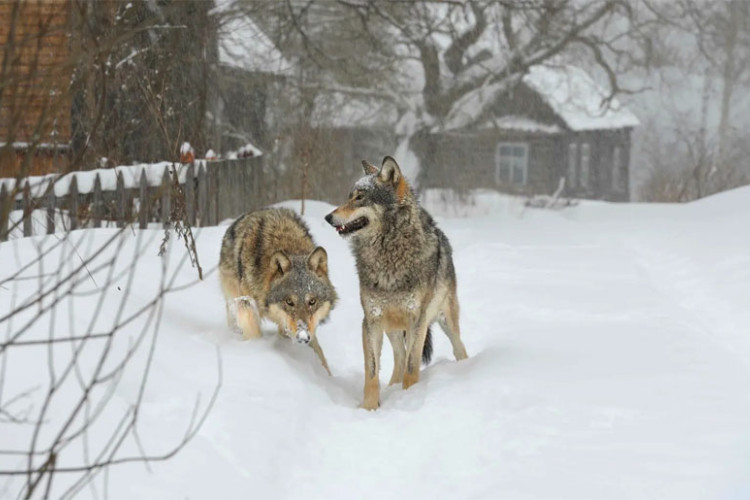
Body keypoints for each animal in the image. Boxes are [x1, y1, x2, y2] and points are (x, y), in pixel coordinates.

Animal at [220, 207, 338, 376]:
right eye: (289, 301)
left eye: (312, 301)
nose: (303, 337)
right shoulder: (247, 305)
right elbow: (254, 333)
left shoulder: (307, 328)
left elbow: (319, 353)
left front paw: (327, 377)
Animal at [324, 157, 468, 410]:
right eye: (349, 196)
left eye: (359, 197)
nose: (328, 217)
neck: (388, 254)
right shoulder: (371, 320)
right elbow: (372, 372)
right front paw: (369, 408)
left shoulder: (417, 321)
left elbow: (412, 368)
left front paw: (409, 399)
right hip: (391, 328)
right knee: (399, 358)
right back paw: (392, 388)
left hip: (445, 321)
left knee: (458, 348)